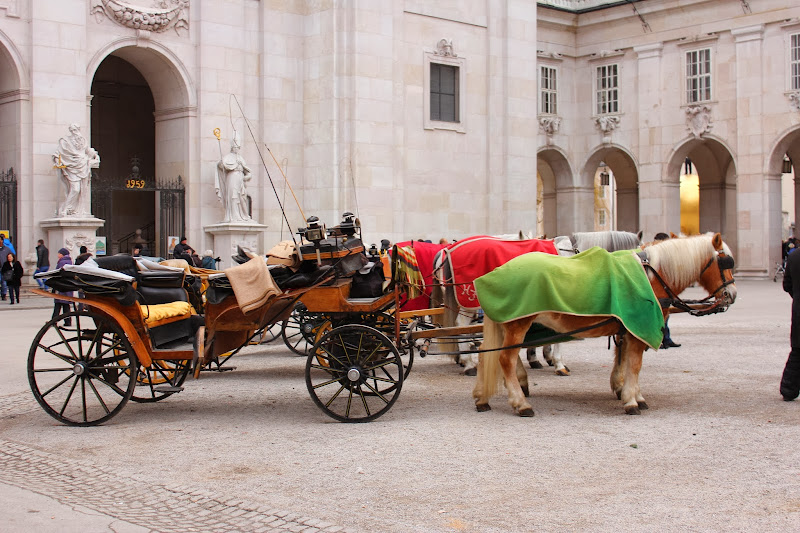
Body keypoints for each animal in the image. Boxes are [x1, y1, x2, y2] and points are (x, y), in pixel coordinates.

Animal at [472, 233, 736, 416]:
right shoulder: (638, 328)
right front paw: (631, 399)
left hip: (509, 323)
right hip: (518, 323)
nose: (731, 295)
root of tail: (495, 272)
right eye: (725, 262)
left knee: (489, 353)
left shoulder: (627, 329)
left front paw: (629, 392)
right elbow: (635, 364)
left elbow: (624, 360)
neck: (650, 274)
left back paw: (484, 397)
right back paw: (521, 403)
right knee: (505, 359)